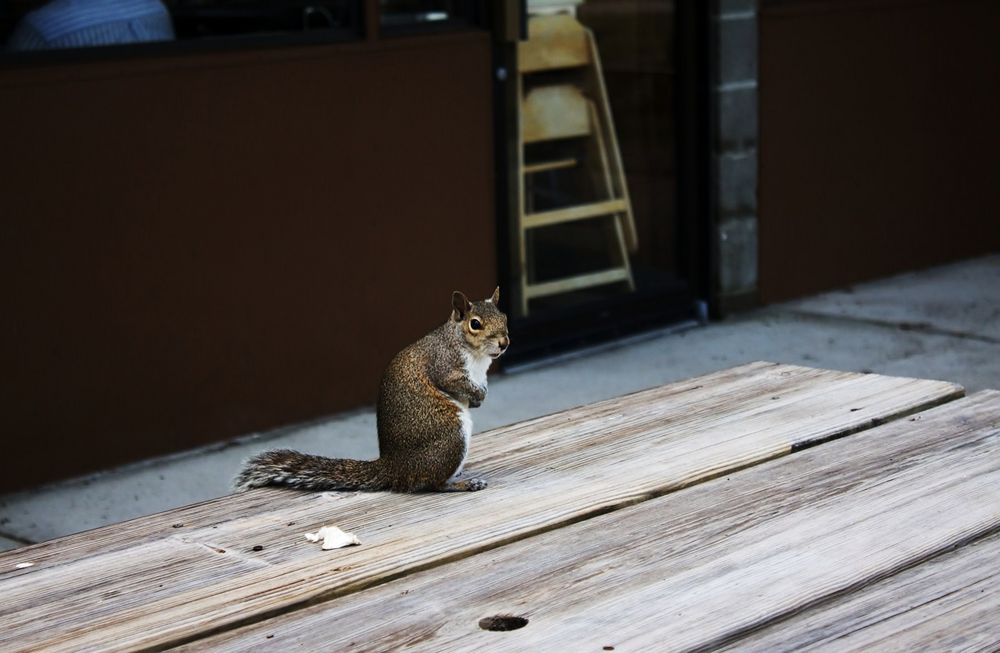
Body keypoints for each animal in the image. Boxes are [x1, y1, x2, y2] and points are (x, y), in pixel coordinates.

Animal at [235, 288, 512, 492]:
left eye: (505, 317)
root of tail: (393, 468)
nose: (504, 343)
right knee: (430, 483)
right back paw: (463, 483)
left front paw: (480, 396)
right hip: (451, 435)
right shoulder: (444, 367)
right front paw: (478, 396)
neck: (476, 355)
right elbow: (455, 383)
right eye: (475, 324)